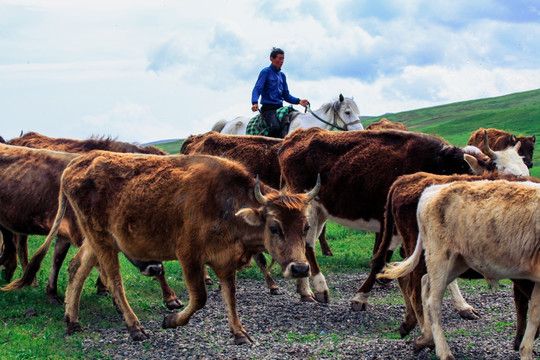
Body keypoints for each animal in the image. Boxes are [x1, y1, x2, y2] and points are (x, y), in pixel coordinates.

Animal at [0, 139, 181, 310]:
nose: (154, 268)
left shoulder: (66, 235)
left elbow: (57, 260)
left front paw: (52, 293)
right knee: (12, 245)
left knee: (17, 245)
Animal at [14, 151, 318, 344]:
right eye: (274, 227)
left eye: (305, 227)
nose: (300, 268)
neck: (227, 204)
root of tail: (75, 165)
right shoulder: (189, 256)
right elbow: (200, 298)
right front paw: (170, 319)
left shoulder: (224, 261)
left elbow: (230, 297)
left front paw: (239, 334)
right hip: (103, 241)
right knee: (113, 281)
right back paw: (135, 328)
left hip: (96, 240)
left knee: (77, 268)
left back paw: (72, 321)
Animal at [280, 126, 528, 304]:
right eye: (503, 176)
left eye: (526, 174)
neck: (441, 164)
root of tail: (296, 136)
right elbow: (383, 259)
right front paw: (361, 297)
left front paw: (463, 306)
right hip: (308, 205)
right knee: (307, 244)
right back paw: (320, 288)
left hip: (321, 209)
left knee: (307, 242)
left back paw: (305, 290)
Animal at [356, 170, 536, 350]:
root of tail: (406, 179)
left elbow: (522, 303)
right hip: (423, 257)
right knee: (415, 290)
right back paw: (426, 337)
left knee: (401, 273)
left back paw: (409, 326)